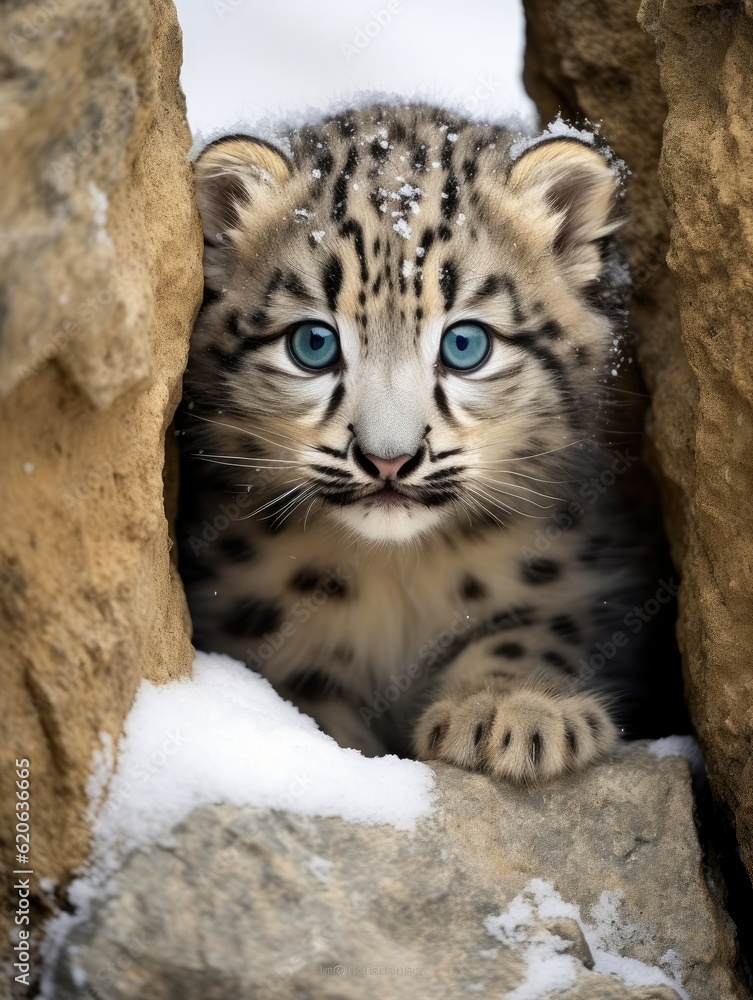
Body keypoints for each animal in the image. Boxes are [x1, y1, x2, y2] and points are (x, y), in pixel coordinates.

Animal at [176, 101, 651, 784]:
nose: (388, 460)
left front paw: (514, 713)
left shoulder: (568, 573)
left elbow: (536, 626)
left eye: (466, 344)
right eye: (313, 344)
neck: (397, 576)